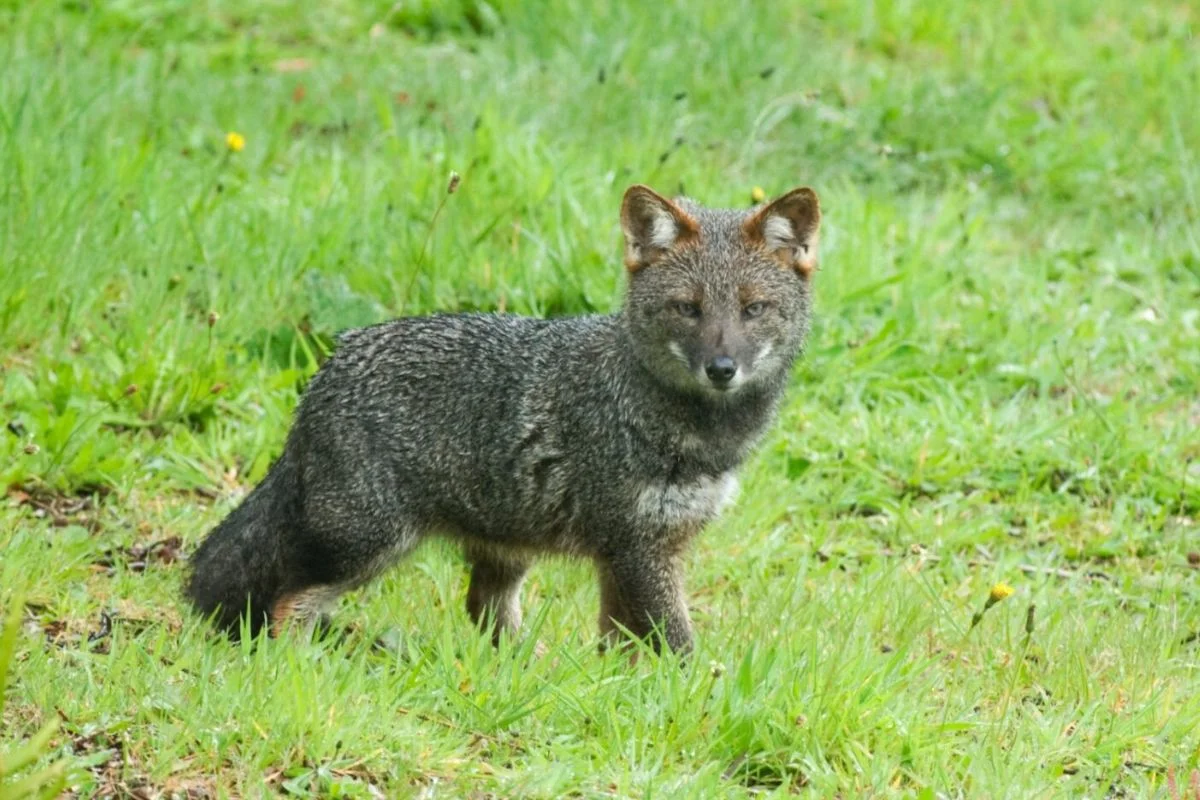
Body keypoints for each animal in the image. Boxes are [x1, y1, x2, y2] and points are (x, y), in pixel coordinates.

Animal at [185, 183, 821, 654]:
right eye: (688, 309)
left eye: (753, 310)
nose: (722, 369)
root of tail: (328, 368)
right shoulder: (639, 549)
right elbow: (677, 643)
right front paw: (693, 695)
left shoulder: (640, 550)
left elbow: (620, 643)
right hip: (371, 544)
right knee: (287, 604)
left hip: (504, 547)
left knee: (482, 610)